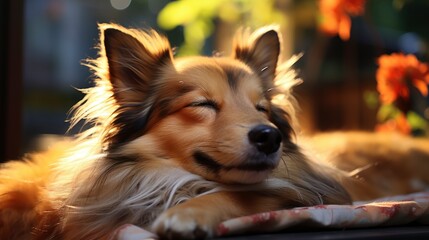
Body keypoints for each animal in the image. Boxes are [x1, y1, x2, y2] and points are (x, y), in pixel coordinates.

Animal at [0, 24, 428, 240]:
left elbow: (241, 195)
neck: (171, 178)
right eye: (203, 104)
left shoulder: (303, 194)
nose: (269, 136)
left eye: (261, 108)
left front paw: (184, 216)